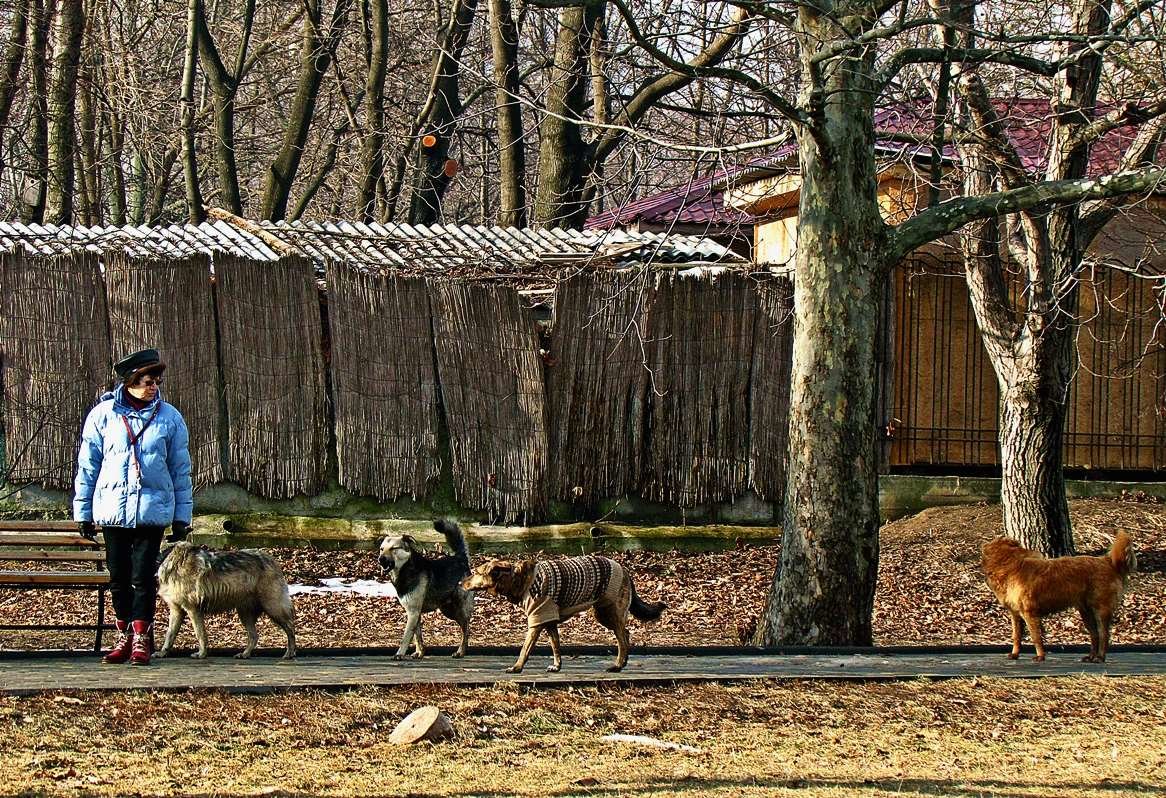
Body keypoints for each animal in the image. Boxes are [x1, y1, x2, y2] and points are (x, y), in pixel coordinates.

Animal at [156, 541, 296, 662]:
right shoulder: (176, 610)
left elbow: (200, 635)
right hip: (245, 614)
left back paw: (290, 653)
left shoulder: (193, 610)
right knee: (254, 636)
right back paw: (245, 654)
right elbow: (169, 635)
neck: (167, 557)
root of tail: (272, 559)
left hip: (272, 608)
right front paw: (162, 653)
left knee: (291, 628)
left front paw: (201, 654)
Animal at [461, 555, 666, 672]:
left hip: (610, 613)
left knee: (622, 637)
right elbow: (555, 645)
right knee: (626, 634)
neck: (517, 579)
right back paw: (622, 663)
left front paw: (517, 667)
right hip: (603, 614)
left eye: (476, 572)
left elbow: (525, 649)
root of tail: (625, 570)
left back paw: (617, 665)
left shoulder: (536, 622)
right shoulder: (549, 620)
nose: (460, 582)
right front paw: (557, 666)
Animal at [979, 532, 1133, 662]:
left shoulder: (1030, 613)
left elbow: (1036, 637)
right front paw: (1015, 654)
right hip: (1085, 612)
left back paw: (1100, 657)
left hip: (1100, 609)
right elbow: (1016, 636)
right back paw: (1090, 657)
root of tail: (1107, 561)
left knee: (1103, 634)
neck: (1011, 566)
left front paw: (1040, 656)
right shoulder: (1015, 614)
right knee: (1094, 634)